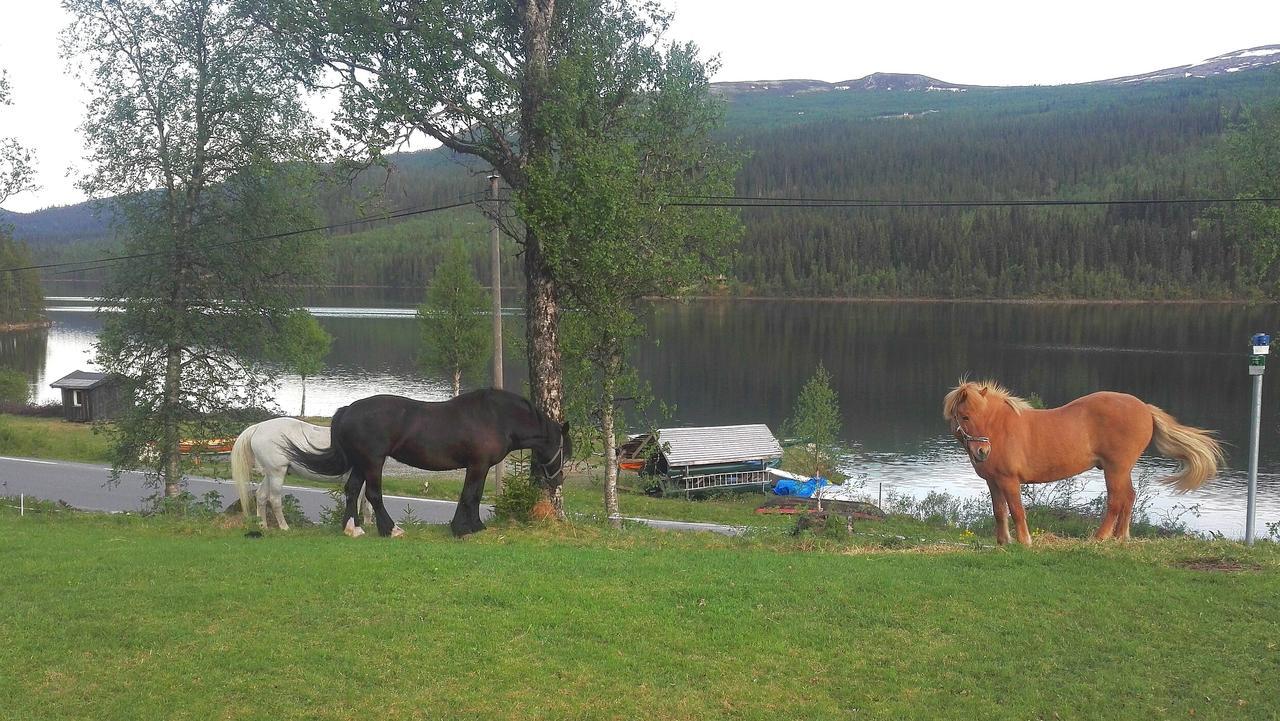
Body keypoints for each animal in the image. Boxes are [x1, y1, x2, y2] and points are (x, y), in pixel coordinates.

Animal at [229, 417, 371, 530]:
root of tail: (258, 427)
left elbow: (367, 504)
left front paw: (368, 525)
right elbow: (357, 501)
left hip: (270, 474)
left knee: (261, 496)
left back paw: (263, 526)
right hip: (277, 474)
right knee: (274, 499)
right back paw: (284, 527)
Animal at [293, 389, 573, 535]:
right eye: (564, 452)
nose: (557, 481)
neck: (497, 418)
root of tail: (348, 409)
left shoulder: (477, 466)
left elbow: (470, 495)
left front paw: (466, 525)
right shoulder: (478, 465)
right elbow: (471, 495)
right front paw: (468, 527)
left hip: (361, 463)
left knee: (351, 490)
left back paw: (352, 528)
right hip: (373, 462)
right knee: (373, 494)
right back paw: (391, 529)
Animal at [947, 381, 1223, 545]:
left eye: (980, 415)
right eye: (964, 416)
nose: (982, 451)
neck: (1000, 428)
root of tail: (1144, 407)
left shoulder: (1009, 481)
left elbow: (1016, 511)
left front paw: (1025, 542)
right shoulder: (993, 482)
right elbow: (999, 512)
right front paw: (1003, 542)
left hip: (1115, 469)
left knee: (1116, 501)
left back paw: (1101, 537)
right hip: (1123, 470)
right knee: (1129, 497)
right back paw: (1121, 537)